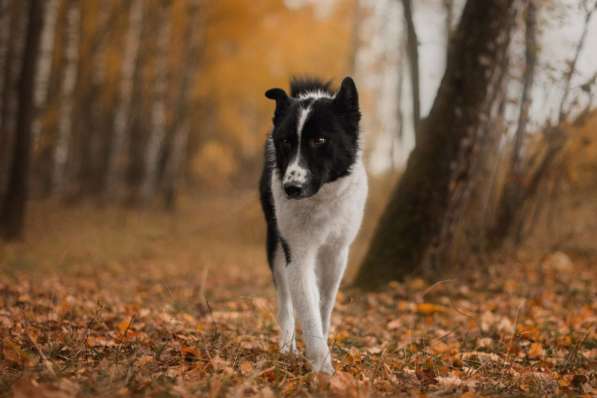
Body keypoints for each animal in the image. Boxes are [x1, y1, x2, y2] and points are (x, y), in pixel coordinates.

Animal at [258, 77, 366, 374]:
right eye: (285, 141)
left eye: (319, 140)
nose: (291, 188)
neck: (320, 201)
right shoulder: (297, 255)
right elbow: (307, 309)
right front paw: (323, 370)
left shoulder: (337, 254)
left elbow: (324, 305)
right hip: (274, 246)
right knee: (284, 302)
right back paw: (287, 347)